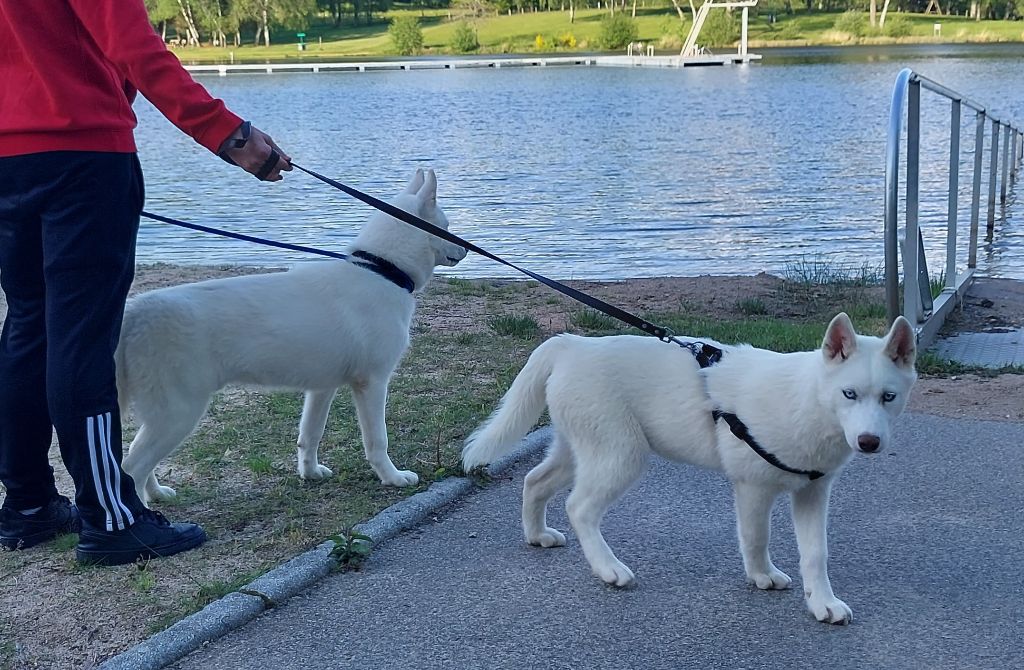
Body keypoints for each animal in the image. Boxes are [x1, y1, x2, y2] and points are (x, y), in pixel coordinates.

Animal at [117, 171, 466, 506]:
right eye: (447, 227)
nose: (464, 247)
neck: (381, 269)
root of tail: (133, 313)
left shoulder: (322, 389)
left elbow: (309, 435)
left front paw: (310, 473)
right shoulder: (373, 383)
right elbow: (377, 440)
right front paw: (392, 478)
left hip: (165, 418)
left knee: (135, 458)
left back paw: (157, 494)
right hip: (178, 414)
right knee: (132, 467)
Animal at [464, 313, 921, 622]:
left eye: (888, 397)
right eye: (849, 394)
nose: (869, 442)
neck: (809, 401)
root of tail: (572, 344)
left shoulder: (813, 491)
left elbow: (815, 554)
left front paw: (822, 603)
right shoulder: (752, 488)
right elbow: (756, 537)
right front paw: (762, 576)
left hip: (578, 450)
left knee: (534, 480)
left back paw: (536, 535)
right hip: (621, 454)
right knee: (580, 508)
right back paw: (608, 568)